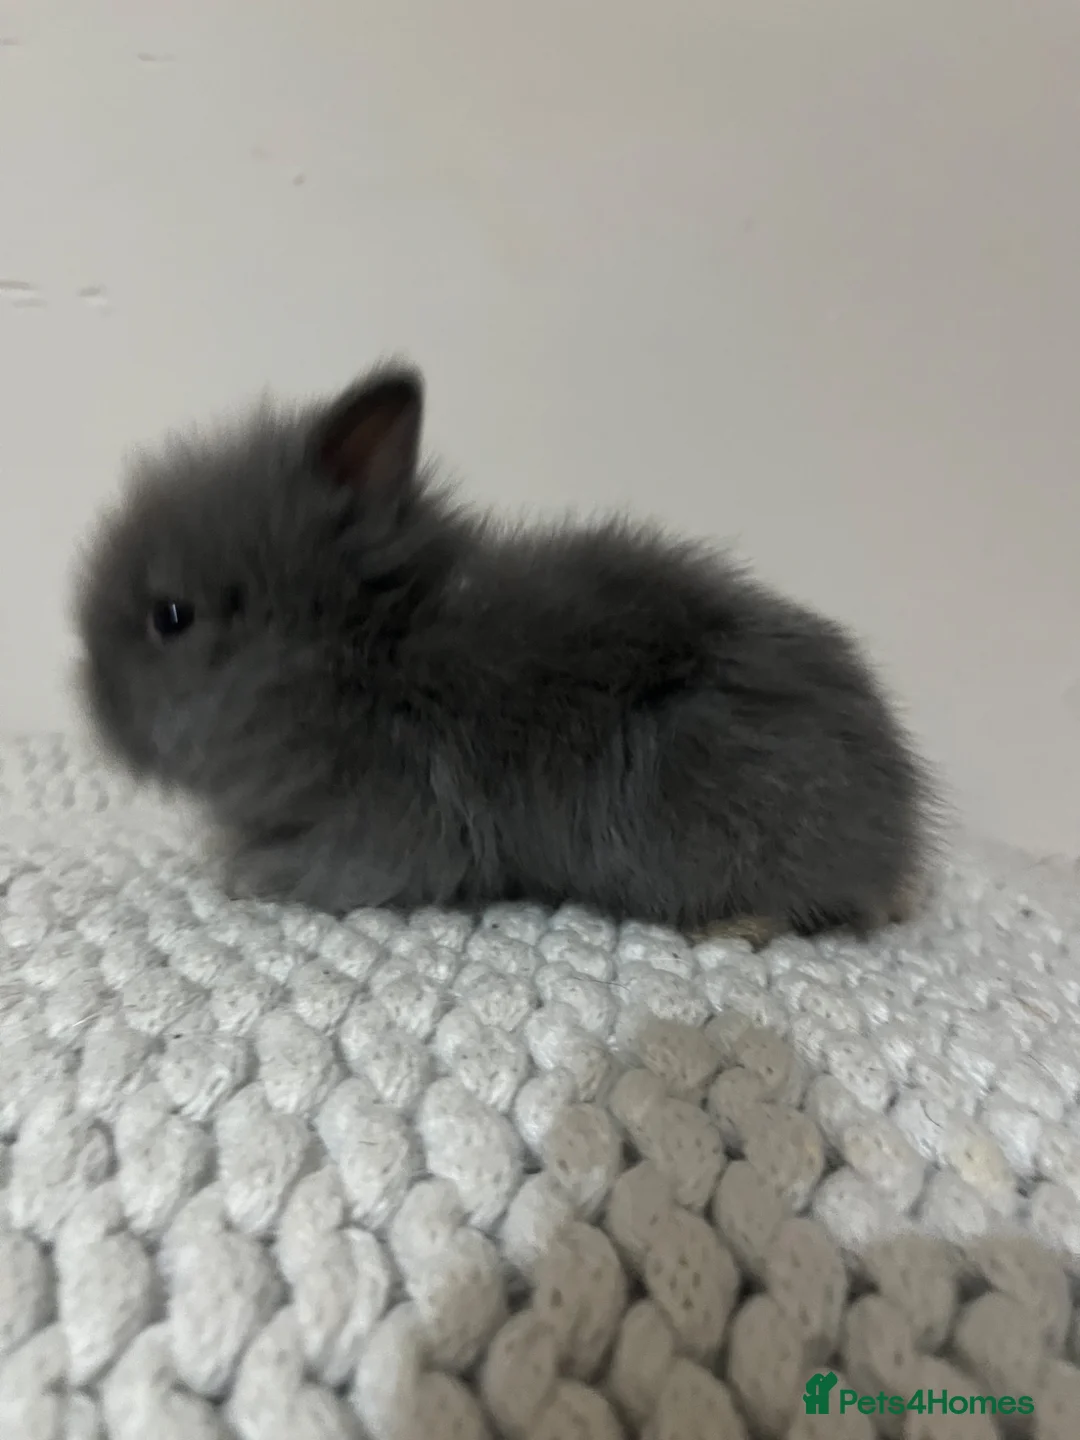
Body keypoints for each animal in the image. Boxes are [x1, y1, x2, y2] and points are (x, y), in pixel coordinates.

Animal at [72, 360, 940, 941]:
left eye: (171, 616)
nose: (97, 714)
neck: (352, 656)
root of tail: (896, 835)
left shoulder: (390, 823)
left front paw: (246, 875)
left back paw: (735, 927)